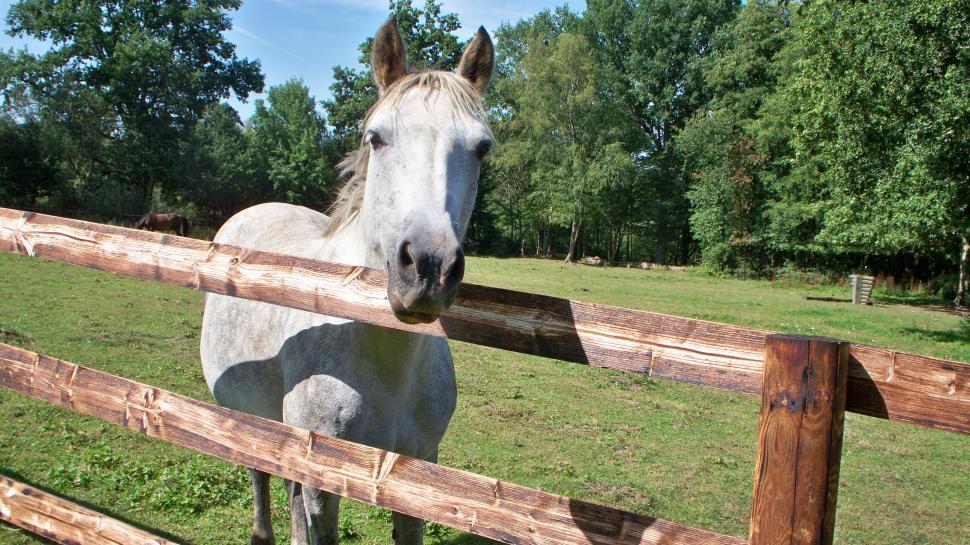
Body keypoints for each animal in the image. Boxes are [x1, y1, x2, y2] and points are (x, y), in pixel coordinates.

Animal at [200, 19, 494, 545]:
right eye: (376, 137)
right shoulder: (323, 479)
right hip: (248, 415)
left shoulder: (416, 471)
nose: (428, 267)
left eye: (482, 147)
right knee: (260, 475)